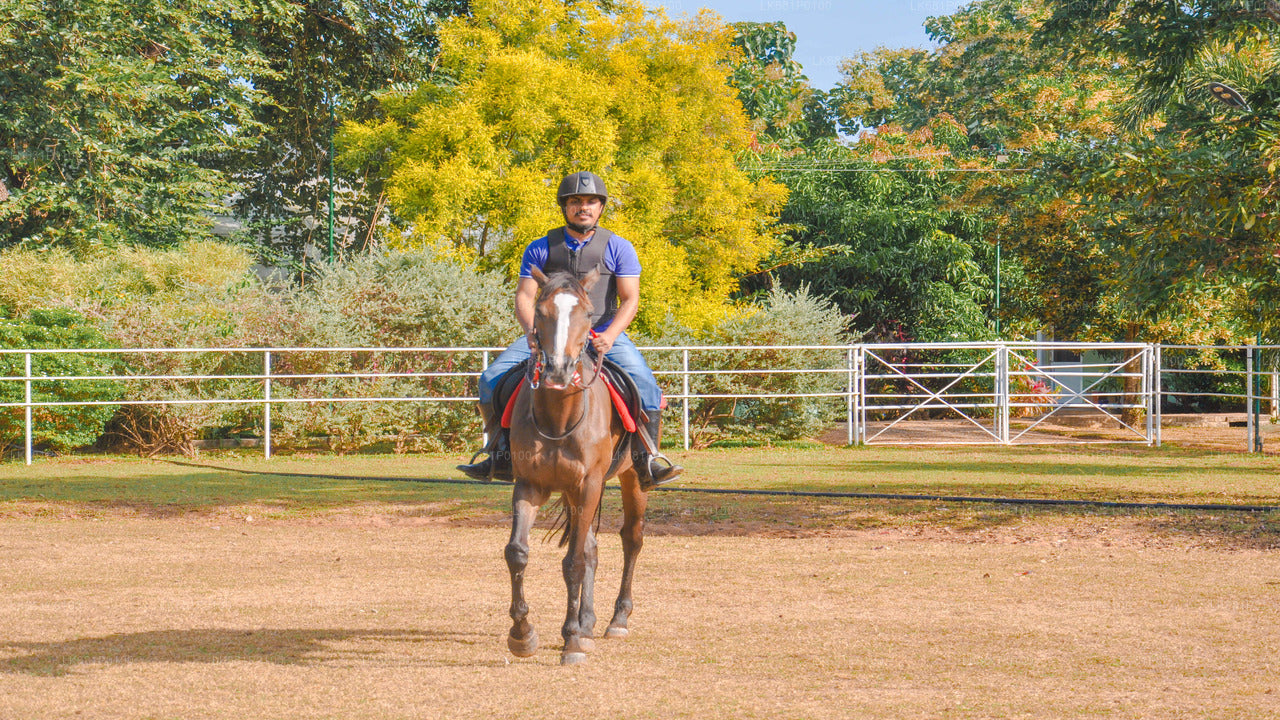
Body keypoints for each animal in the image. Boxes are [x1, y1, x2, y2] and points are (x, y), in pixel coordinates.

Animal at [503, 266, 648, 666]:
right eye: (540, 312)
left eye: (587, 313)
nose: (557, 370)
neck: (559, 417)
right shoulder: (530, 485)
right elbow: (517, 553)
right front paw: (523, 634)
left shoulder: (588, 485)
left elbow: (574, 563)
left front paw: (570, 641)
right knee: (592, 548)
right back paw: (587, 623)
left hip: (630, 480)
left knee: (631, 539)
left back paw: (616, 620)